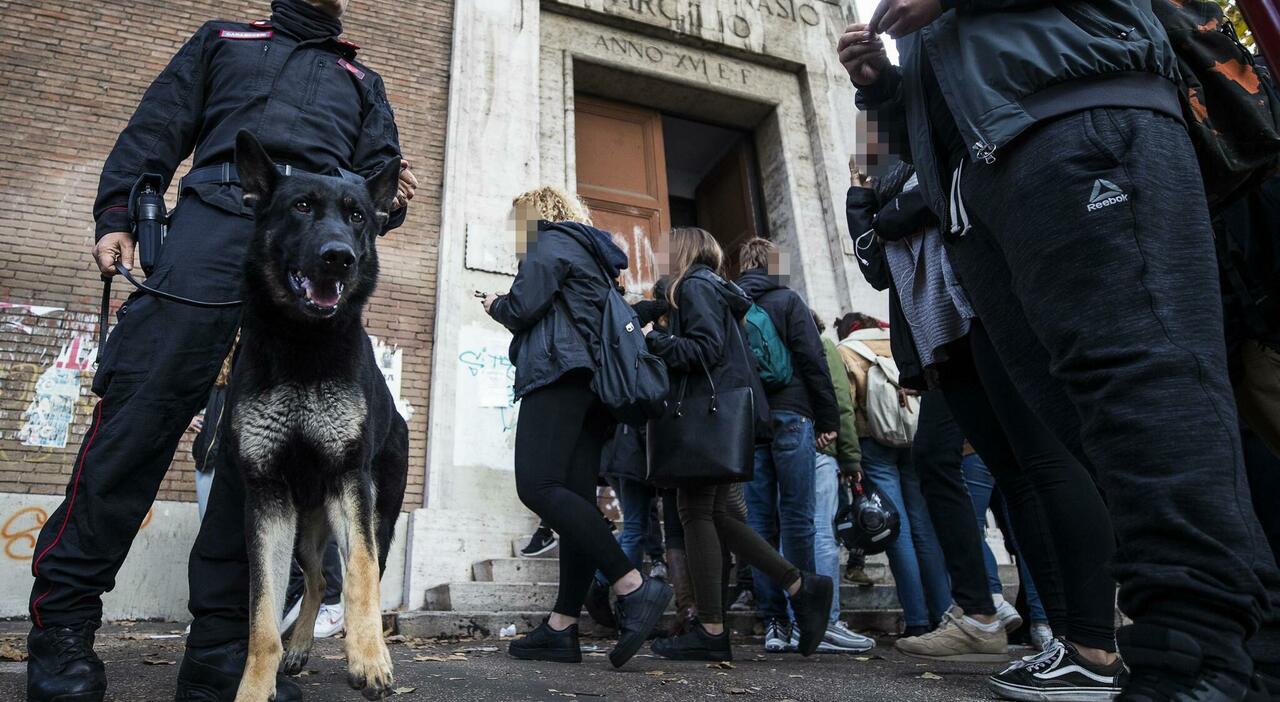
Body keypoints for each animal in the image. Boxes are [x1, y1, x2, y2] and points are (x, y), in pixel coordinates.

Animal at [230, 130, 407, 696]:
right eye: (302, 207)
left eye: (357, 216)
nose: (339, 258)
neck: (304, 345)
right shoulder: (267, 496)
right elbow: (263, 615)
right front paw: (254, 687)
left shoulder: (349, 481)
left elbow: (361, 577)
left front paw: (369, 659)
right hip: (305, 527)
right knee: (316, 576)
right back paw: (300, 647)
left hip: (373, 513)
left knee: (351, 572)